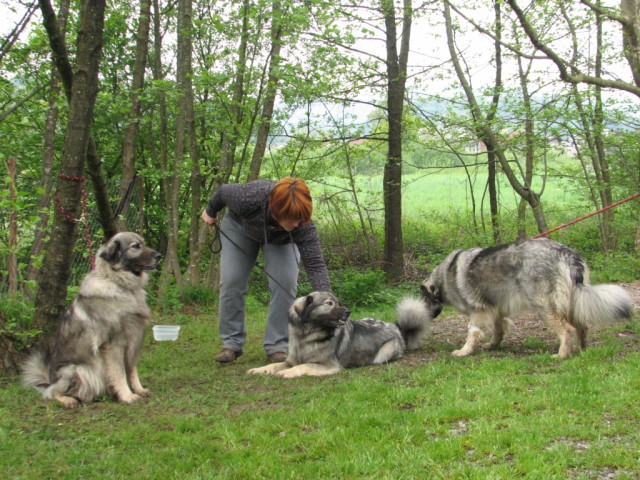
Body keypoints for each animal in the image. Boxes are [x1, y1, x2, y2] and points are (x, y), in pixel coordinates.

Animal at [22, 232, 162, 408]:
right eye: (135, 246)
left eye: (143, 243)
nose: (159, 256)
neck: (118, 283)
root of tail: (50, 380)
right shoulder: (114, 344)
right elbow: (120, 372)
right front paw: (127, 395)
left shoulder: (133, 340)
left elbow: (131, 369)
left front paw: (139, 389)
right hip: (77, 371)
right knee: (50, 393)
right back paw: (68, 400)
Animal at [248, 290, 432, 376]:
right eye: (330, 304)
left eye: (338, 303)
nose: (348, 312)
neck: (306, 337)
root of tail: (396, 326)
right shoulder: (290, 360)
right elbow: (273, 365)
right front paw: (258, 370)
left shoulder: (326, 365)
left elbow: (302, 366)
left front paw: (285, 373)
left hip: (382, 354)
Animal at [418, 238, 632, 358]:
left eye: (425, 301)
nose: (427, 316)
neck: (445, 276)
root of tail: (566, 254)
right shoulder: (496, 310)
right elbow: (498, 330)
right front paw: (492, 346)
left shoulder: (479, 310)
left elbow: (473, 332)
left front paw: (464, 351)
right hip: (570, 303)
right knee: (581, 326)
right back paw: (581, 349)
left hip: (543, 306)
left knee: (567, 329)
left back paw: (562, 355)